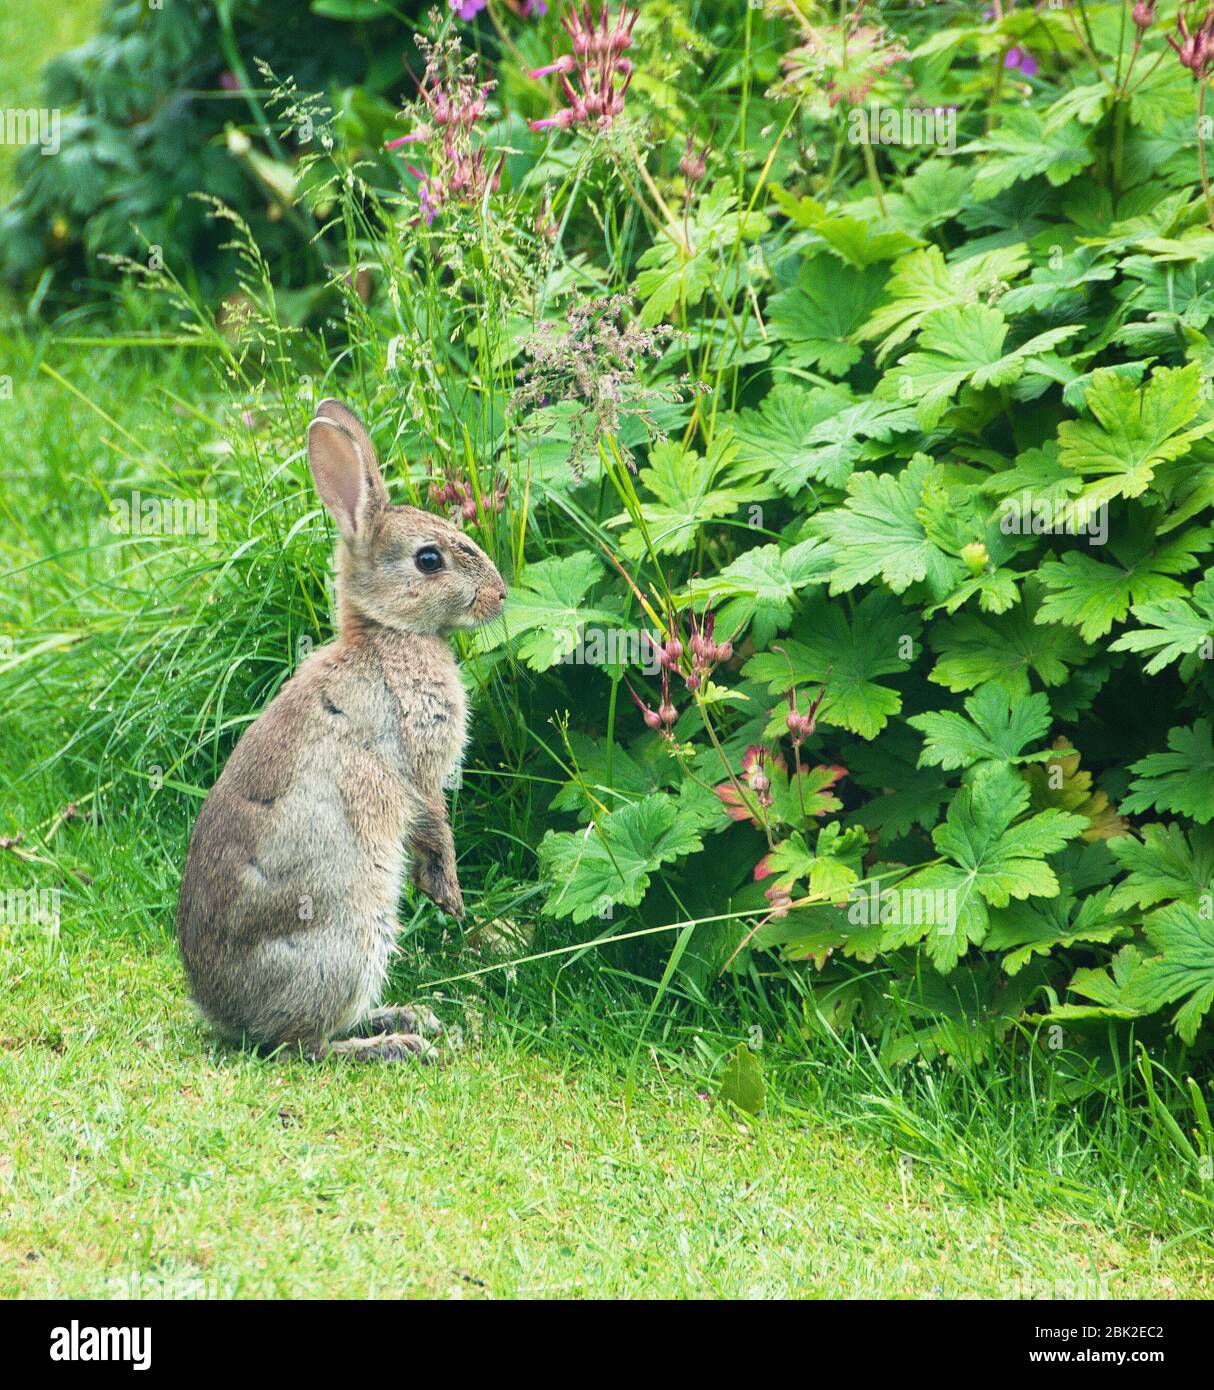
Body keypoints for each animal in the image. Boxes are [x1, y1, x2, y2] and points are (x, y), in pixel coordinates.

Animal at [176, 398, 506, 1061]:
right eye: (429, 560)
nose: (499, 595)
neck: (387, 635)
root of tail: (221, 1011)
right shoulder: (416, 763)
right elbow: (434, 822)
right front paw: (450, 893)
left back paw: (407, 1016)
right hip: (351, 933)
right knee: (302, 1045)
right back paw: (397, 1043)